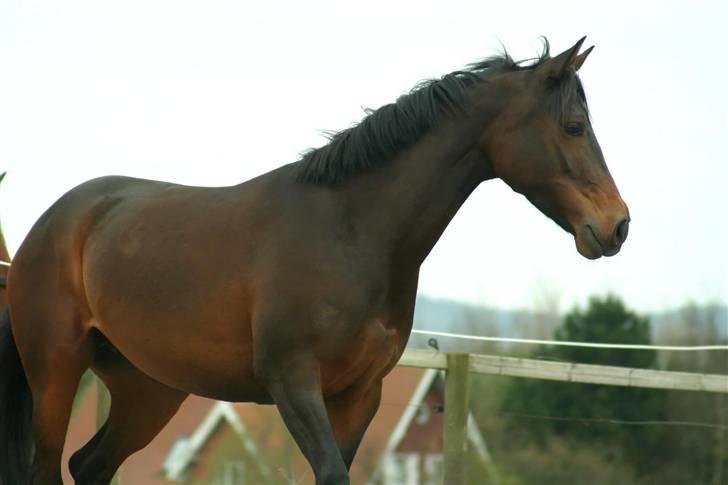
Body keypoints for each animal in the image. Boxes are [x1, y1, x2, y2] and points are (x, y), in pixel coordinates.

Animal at [0, 37, 628, 485]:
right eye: (574, 126)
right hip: (56, 371)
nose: (617, 225)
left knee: (89, 466)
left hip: (147, 389)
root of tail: (55, 222)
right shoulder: (294, 382)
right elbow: (328, 474)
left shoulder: (359, 394)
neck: (349, 231)